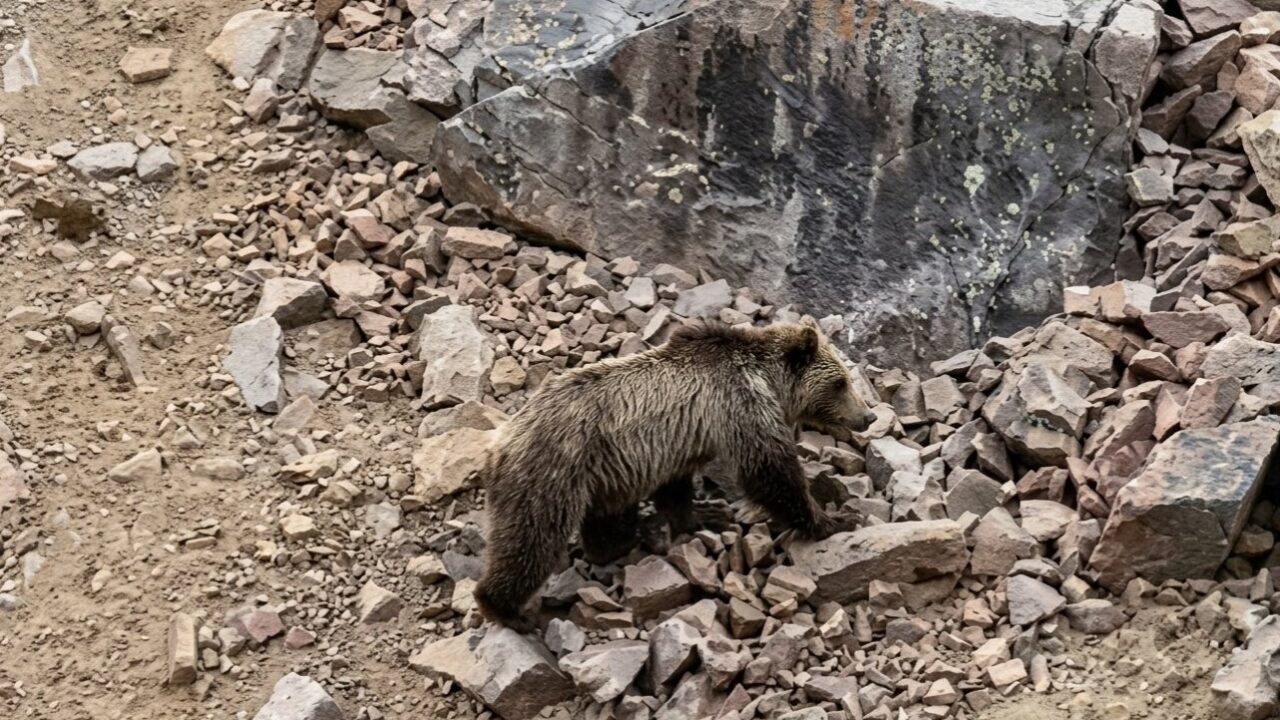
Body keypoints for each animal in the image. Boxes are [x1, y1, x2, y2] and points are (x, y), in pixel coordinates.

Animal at [473, 316, 877, 630]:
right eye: (840, 382)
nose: (868, 416)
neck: (768, 379)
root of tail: (498, 443)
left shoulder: (678, 445)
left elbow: (676, 488)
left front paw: (705, 513)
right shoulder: (740, 404)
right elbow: (770, 472)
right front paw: (836, 519)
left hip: (600, 476)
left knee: (603, 523)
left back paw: (627, 537)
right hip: (552, 473)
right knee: (533, 540)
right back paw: (508, 610)